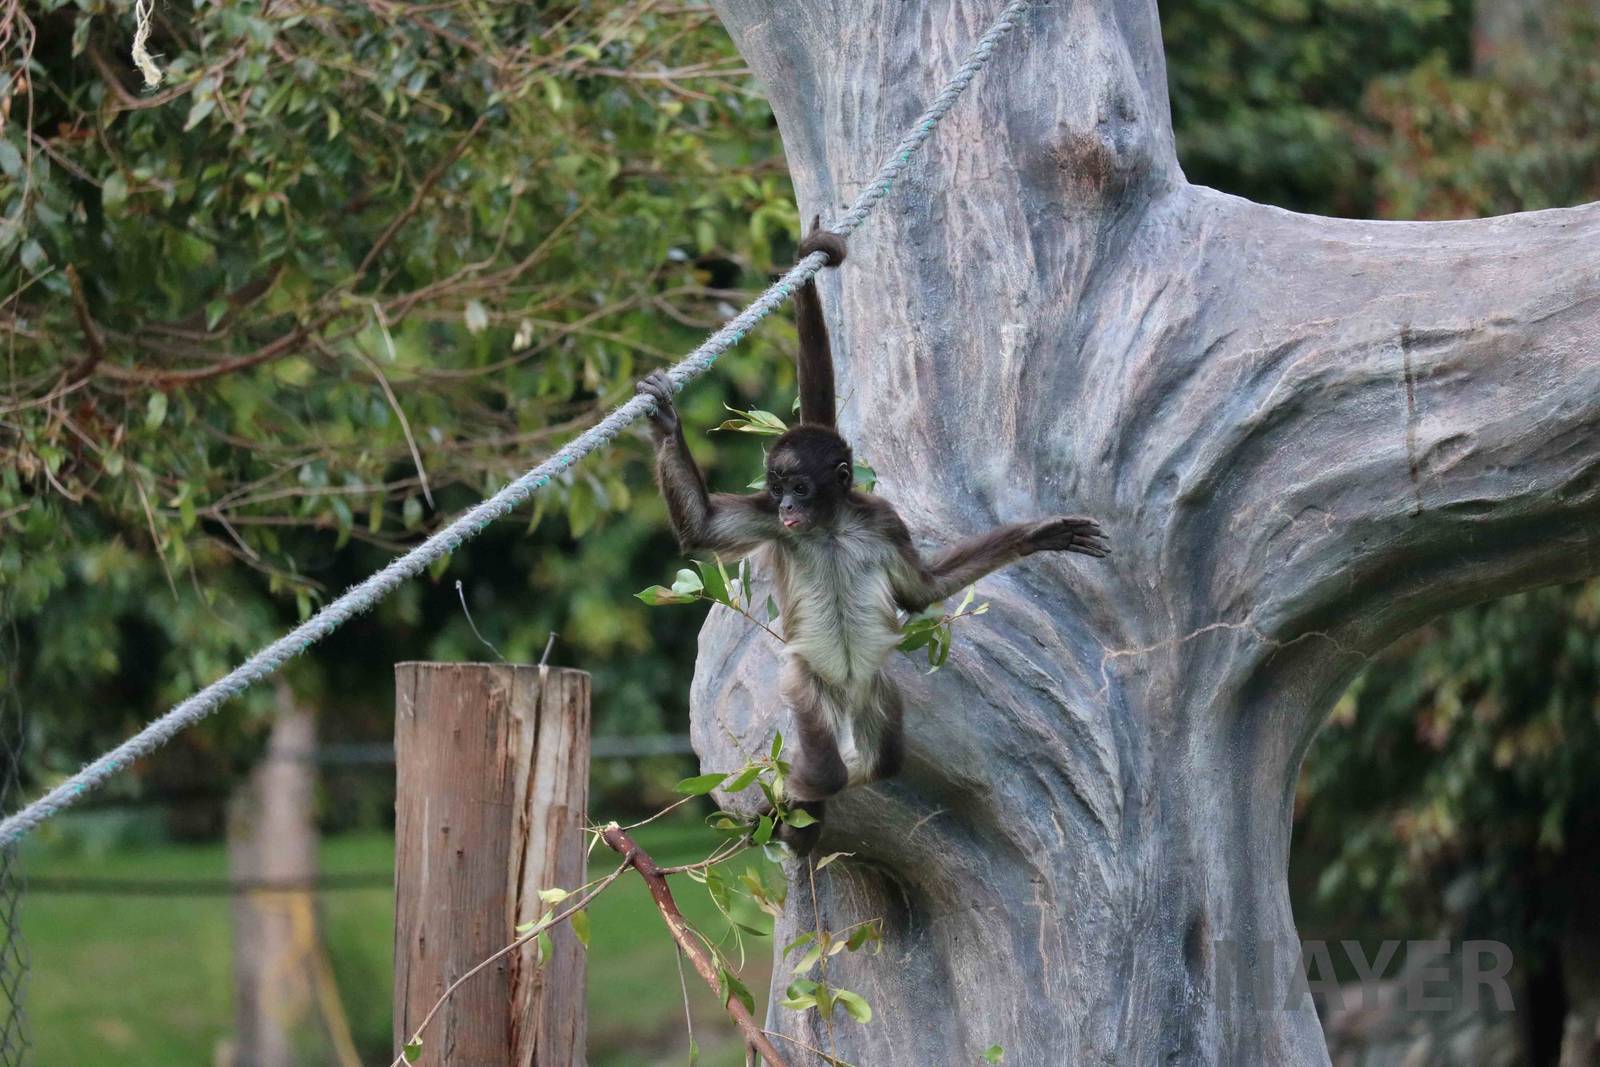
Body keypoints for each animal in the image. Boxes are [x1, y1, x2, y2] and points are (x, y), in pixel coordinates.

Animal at [637, 220, 1110, 853]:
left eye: (801, 486)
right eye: (777, 486)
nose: (788, 505)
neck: (831, 530)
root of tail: (846, 690)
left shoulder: (882, 520)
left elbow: (920, 591)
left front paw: (1040, 536)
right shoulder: (771, 526)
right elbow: (702, 531)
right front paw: (666, 424)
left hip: (876, 690)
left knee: (882, 759)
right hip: (809, 685)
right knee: (827, 765)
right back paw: (796, 806)